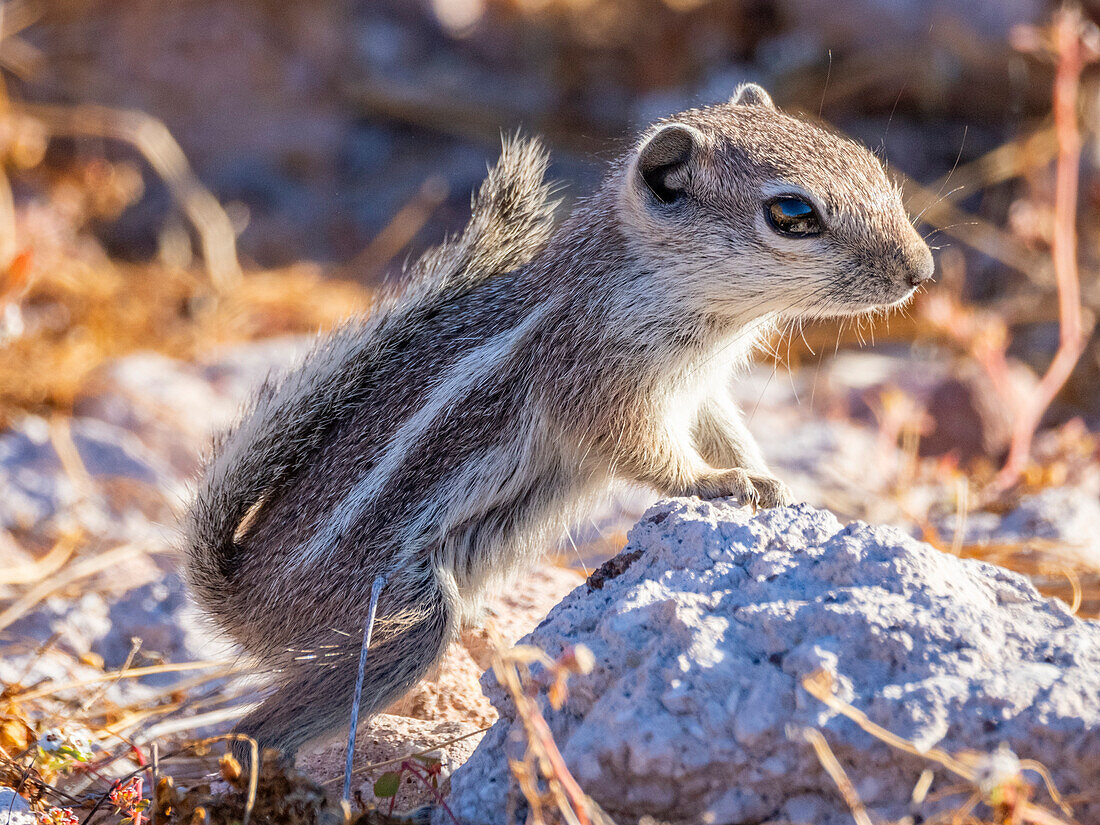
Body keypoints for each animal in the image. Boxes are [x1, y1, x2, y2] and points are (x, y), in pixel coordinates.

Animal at [184, 84, 932, 761]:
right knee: (260, 728)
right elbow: (650, 454)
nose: (922, 270)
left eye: (869, 164)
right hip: (392, 617)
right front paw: (720, 483)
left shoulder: (702, 392)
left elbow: (727, 431)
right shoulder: (602, 382)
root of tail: (243, 600)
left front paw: (770, 479)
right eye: (792, 213)